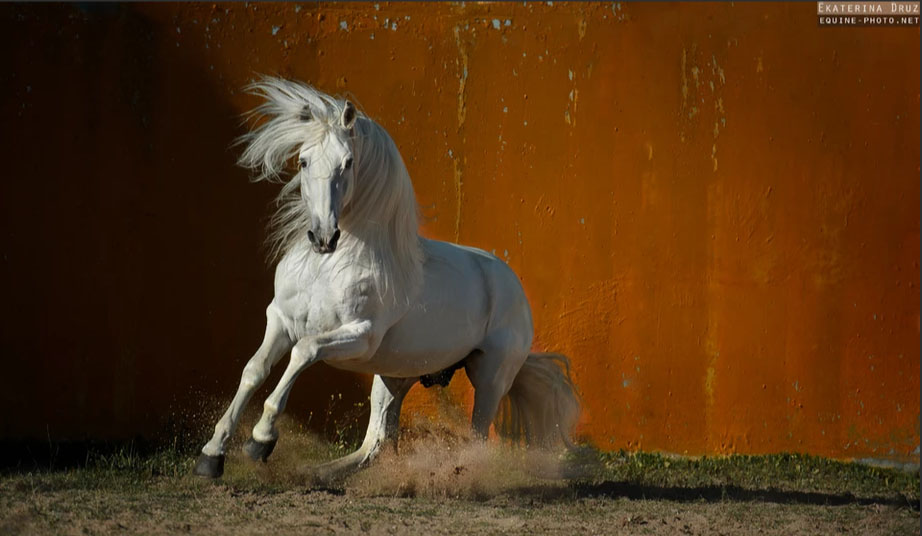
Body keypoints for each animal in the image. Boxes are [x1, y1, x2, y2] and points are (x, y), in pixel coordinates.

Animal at [194, 77, 580, 480]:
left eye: (347, 162)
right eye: (303, 160)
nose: (323, 237)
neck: (329, 269)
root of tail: (514, 286)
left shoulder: (359, 335)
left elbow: (304, 351)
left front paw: (261, 440)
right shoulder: (281, 319)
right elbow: (253, 370)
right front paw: (212, 454)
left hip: (490, 377)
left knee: (475, 439)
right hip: (394, 376)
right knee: (375, 445)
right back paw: (322, 472)